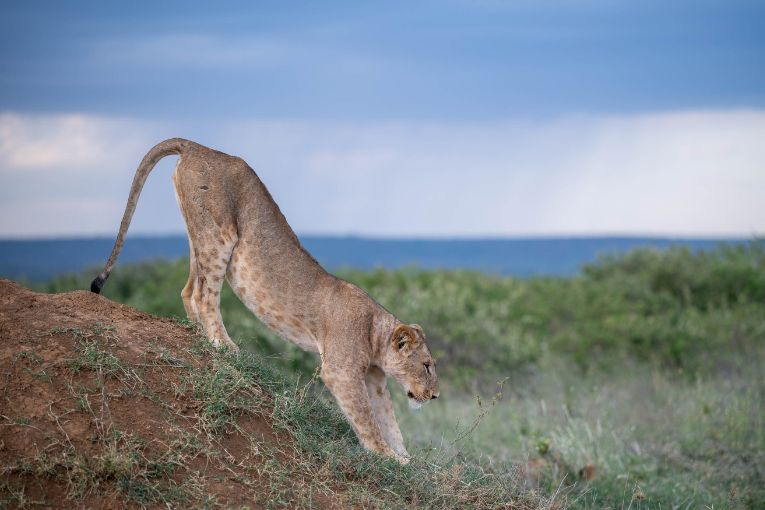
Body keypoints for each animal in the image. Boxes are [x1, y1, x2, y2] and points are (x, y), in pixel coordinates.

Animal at [90, 137, 438, 460]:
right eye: (427, 366)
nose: (434, 397)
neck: (377, 332)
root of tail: (197, 146)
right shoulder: (341, 370)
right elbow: (366, 418)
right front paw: (386, 455)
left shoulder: (374, 378)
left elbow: (388, 418)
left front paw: (404, 458)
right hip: (219, 234)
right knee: (204, 294)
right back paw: (224, 345)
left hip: (197, 233)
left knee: (188, 290)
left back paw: (199, 335)